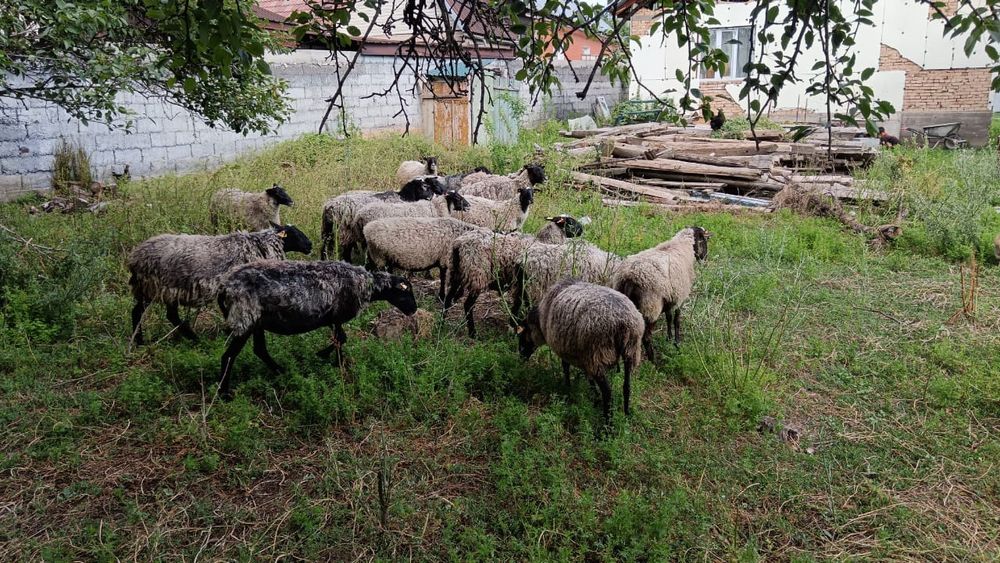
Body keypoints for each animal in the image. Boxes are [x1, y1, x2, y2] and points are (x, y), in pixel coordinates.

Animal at [127, 224, 313, 346]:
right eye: (295, 233)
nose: (310, 245)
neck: (259, 245)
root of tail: (134, 258)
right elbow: (227, 309)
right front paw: (231, 330)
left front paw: (228, 330)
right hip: (157, 286)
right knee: (151, 313)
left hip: (158, 289)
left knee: (157, 313)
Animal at [217, 260, 417, 397]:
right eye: (406, 292)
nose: (414, 310)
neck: (366, 284)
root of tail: (224, 287)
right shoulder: (337, 316)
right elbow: (341, 339)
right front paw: (331, 359)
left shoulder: (334, 319)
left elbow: (339, 339)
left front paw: (335, 361)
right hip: (245, 318)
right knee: (229, 356)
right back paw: (224, 393)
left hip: (257, 321)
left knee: (260, 350)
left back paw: (281, 371)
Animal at [516, 278, 644, 419]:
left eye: (522, 336)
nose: (521, 358)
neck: (540, 321)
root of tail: (624, 323)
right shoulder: (583, 355)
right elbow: (588, 377)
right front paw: (594, 397)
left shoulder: (564, 349)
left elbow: (565, 367)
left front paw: (567, 387)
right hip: (631, 350)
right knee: (627, 386)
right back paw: (626, 414)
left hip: (598, 354)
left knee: (608, 392)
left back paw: (607, 422)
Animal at [610, 226, 710, 361]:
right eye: (704, 240)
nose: (705, 257)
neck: (684, 246)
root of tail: (629, 277)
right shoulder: (680, 297)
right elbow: (677, 319)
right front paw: (677, 342)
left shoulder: (670, 297)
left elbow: (669, 317)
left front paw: (669, 338)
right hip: (651, 307)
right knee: (646, 337)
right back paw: (653, 361)